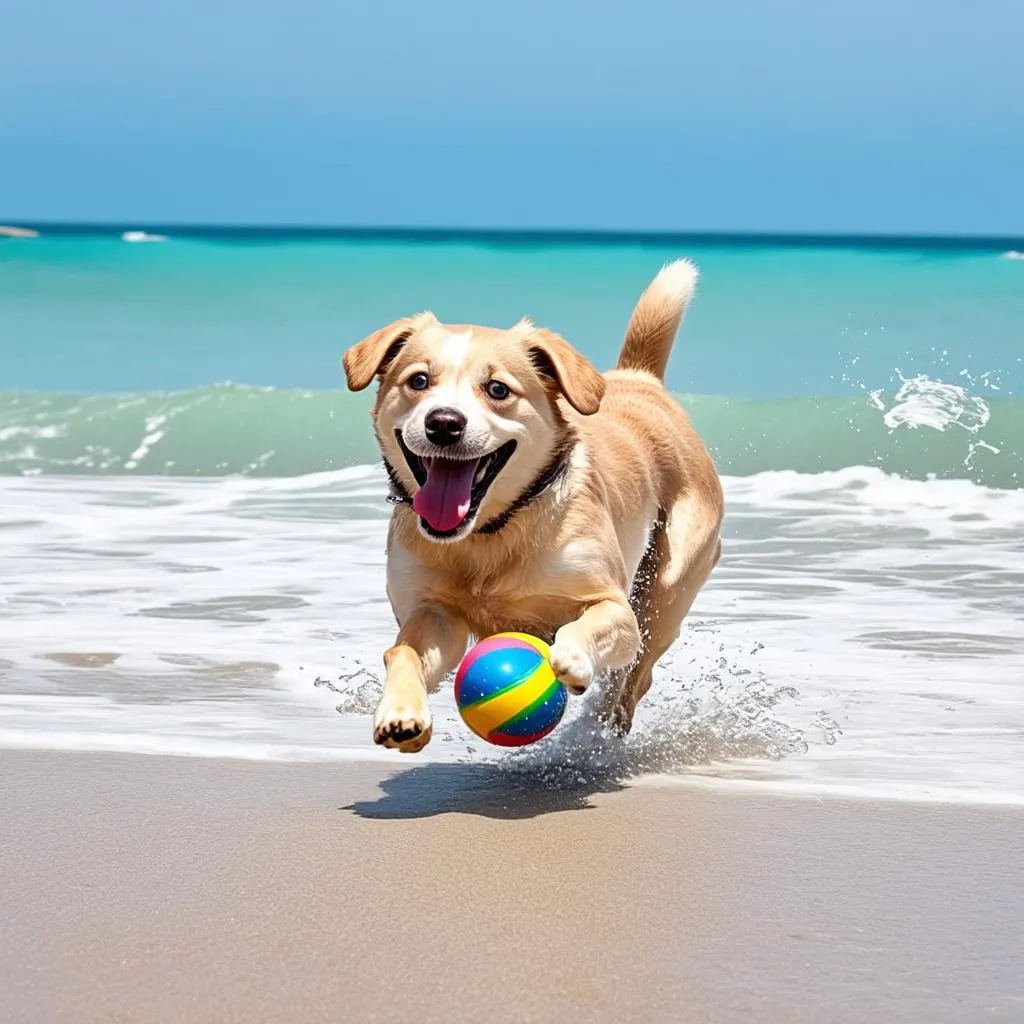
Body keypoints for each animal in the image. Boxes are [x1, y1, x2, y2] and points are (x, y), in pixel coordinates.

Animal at [342, 258, 720, 753]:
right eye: (418, 381)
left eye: (498, 389)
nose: (443, 422)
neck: (491, 531)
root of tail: (641, 379)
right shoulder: (433, 612)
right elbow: (403, 651)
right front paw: (400, 713)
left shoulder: (612, 606)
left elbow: (593, 623)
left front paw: (572, 657)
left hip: (670, 584)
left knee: (634, 673)